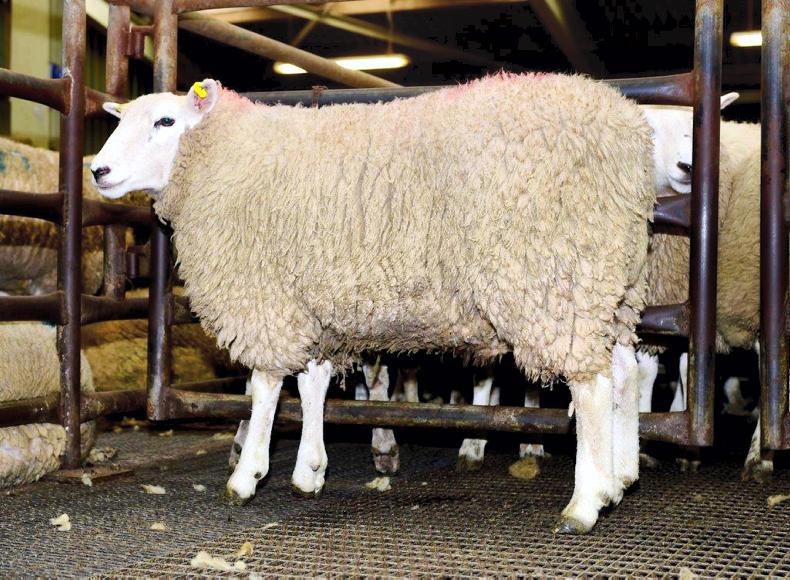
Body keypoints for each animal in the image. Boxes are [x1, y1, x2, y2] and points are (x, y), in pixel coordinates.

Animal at [91, 73, 657, 533]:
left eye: (165, 120)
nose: (98, 170)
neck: (222, 157)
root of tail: (626, 133)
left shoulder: (267, 296)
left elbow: (265, 386)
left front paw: (248, 474)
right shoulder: (313, 303)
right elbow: (312, 383)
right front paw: (309, 470)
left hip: (554, 278)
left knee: (592, 385)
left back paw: (585, 503)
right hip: (613, 282)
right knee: (624, 371)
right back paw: (620, 479)